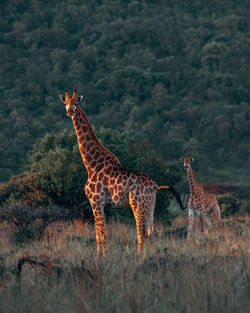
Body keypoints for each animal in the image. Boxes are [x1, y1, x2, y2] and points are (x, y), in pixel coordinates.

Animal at [59, 89, 183, 254]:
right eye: (65, 102)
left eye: (76, 103)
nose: (69, 111)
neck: (92, 165)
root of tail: (155, 186)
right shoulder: (96, 204)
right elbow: (98, 235)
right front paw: (100, 256)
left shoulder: (96, 201)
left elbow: (102, 235)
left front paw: (102, 257)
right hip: (150, 205)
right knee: (152, 233)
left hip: (137, 204)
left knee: (141, 233)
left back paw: (140, 256)